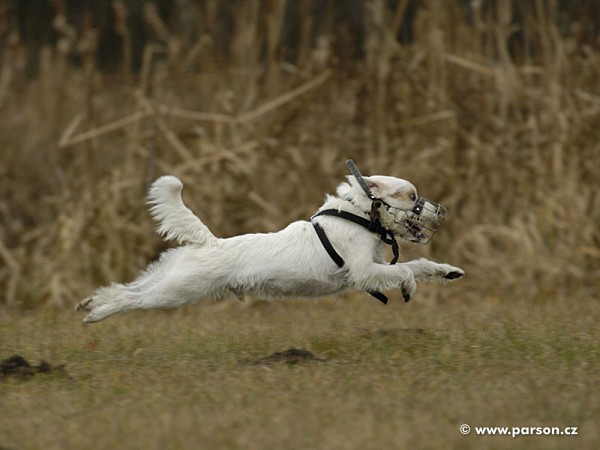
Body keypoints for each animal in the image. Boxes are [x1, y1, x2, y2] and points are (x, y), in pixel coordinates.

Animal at [77, 162, 464, 324]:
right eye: (410, 195)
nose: (437, 211)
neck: (357, 214)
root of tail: (209, 242)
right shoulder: (365, 272)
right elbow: (406, 271)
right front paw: (410, 287)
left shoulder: (376, 266)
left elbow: (419, 265)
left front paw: (447, 271)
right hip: (176, 292)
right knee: (130, 300)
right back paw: (97, 314)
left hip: (168, 279)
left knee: (125, 289)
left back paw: (90, 304)